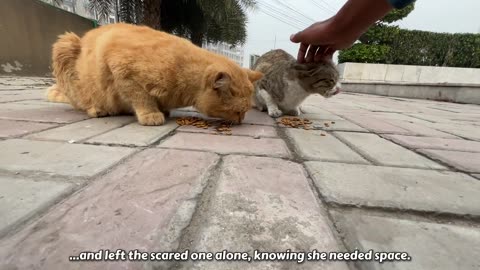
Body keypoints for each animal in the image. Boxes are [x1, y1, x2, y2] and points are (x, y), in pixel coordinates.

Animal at [47, 22, 264, 125]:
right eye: (237, 112)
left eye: (244, 112)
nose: (241, 121)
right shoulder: (122, 70)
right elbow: (141, 97)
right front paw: (151, 114)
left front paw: (163, 110)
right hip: (65, 45)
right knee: (82, 102)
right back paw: (97, 109)